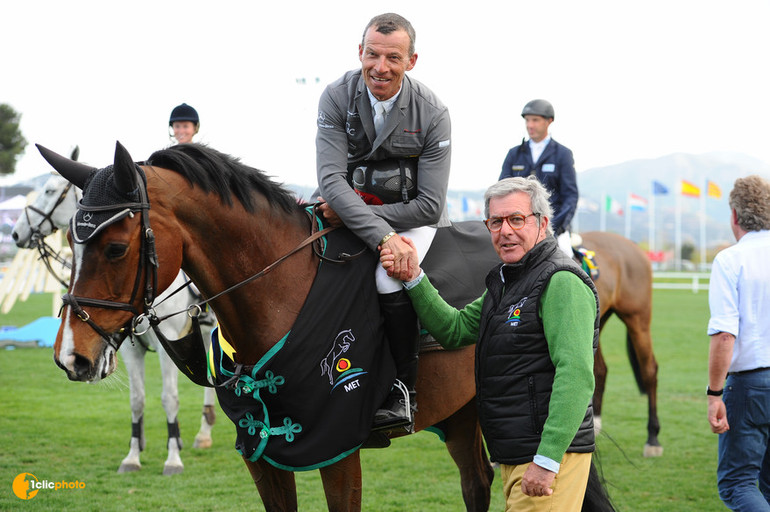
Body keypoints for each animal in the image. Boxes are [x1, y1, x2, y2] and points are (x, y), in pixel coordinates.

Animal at [11, 171, 219, 472]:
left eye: (49, 191)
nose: (17, 233)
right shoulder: (131, 349)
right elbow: (137, 399)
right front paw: (133, 455)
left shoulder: (168, 344)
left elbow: (169, 398)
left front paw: (172, 458)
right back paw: (204, 433)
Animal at [37, 142, 492, 510]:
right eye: (72, 243)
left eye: (115, 249)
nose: (71, 357)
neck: (282, 288)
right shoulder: (261, 452)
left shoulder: (338, 449)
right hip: (461, 411)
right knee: (477, 482)